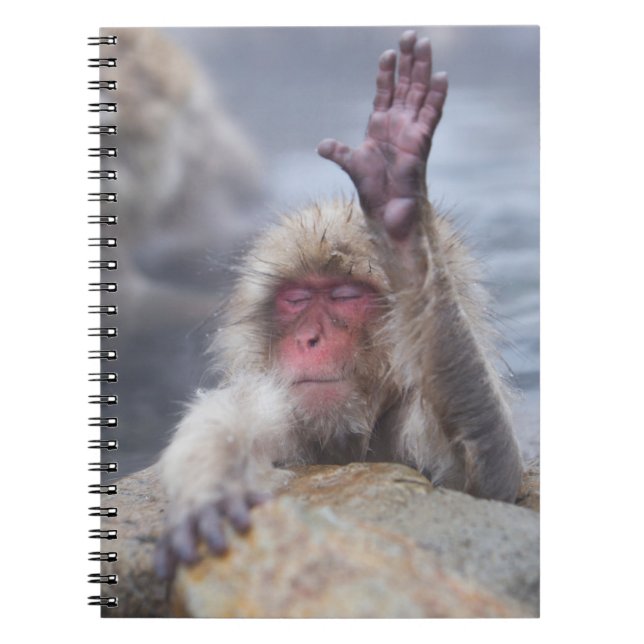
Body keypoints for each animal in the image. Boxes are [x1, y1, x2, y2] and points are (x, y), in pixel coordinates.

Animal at [155, 30, 524, 579]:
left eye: (346, 296)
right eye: (297, 299)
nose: (312, 338)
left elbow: (493, 480)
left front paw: (405, 233)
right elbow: (226, 420)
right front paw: (210, 495)